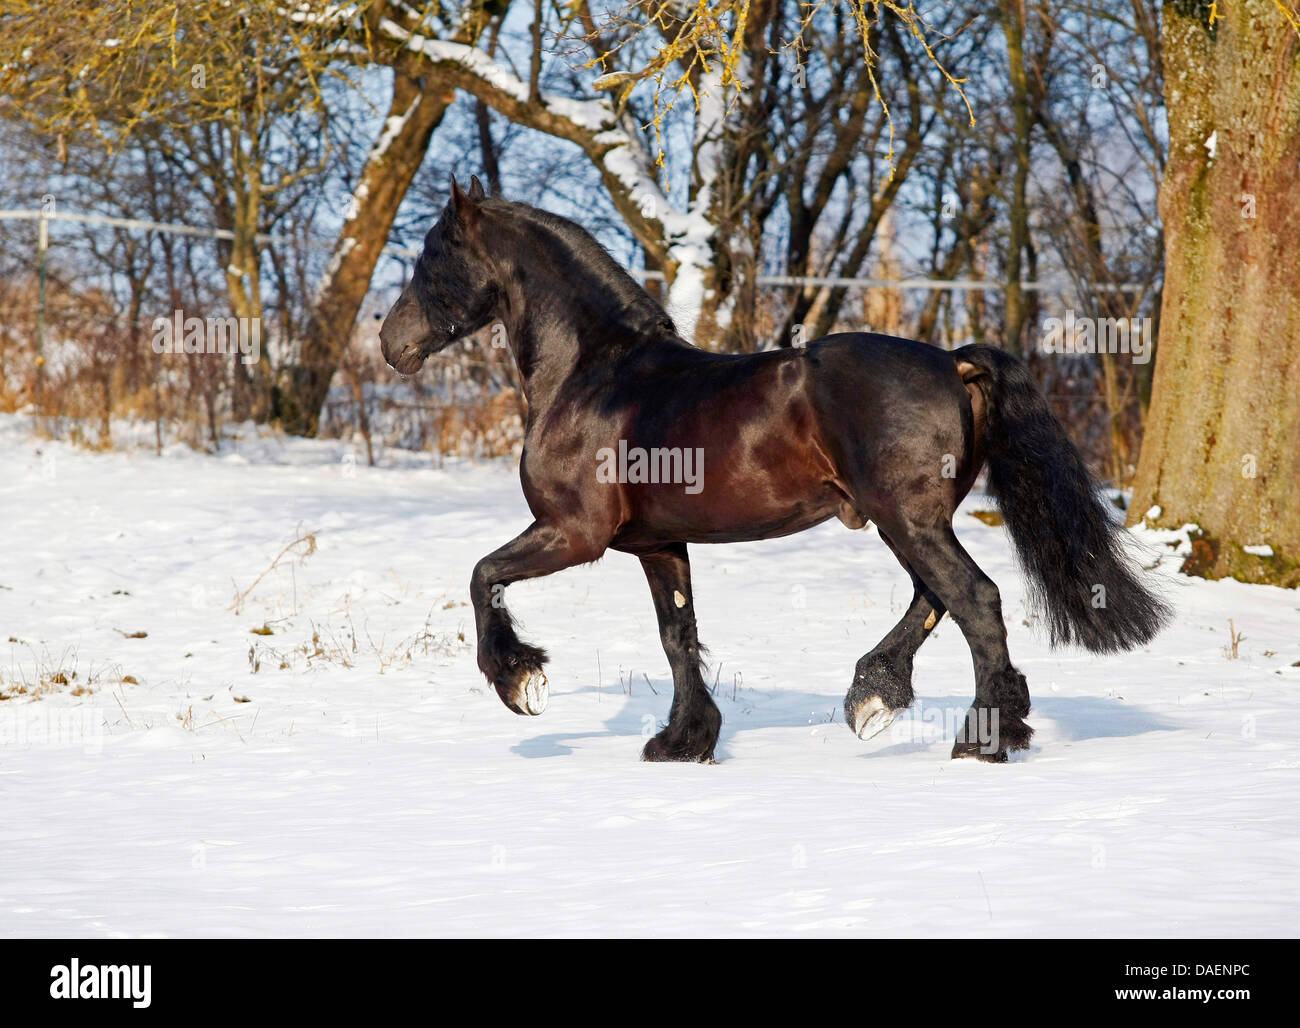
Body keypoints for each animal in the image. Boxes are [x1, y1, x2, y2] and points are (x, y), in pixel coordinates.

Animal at [380, 176, 1170, 763]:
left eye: (431, 258)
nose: (391, 344)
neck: (595, 374)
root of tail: (953, 360)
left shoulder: (574, 533)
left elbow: (483, 575)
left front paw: (522, 681)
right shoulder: (659, 545)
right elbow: (677, 636)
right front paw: (682, 741)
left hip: (906, 520)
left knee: (973, 599)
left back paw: (980, 740)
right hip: (914, 521)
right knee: (935, 599)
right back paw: (875, 696)